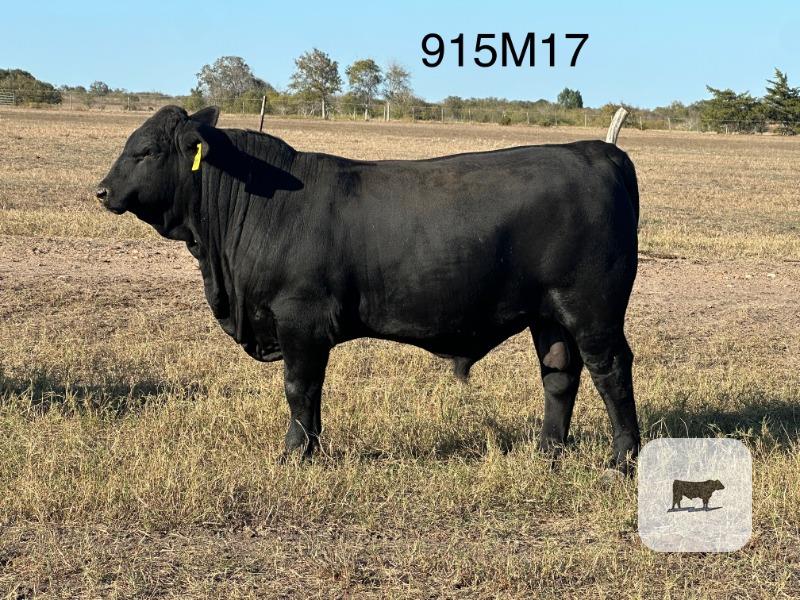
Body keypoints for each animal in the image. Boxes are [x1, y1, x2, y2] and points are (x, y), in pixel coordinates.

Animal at [96, 106, 641, 473]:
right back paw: (547, 451)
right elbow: (310, 393)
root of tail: (599, 151)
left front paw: (295, 453)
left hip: (592, 309)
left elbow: (299, 388)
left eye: (146, 151)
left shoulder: (299, 321)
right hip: (549, 314)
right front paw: (310, 448)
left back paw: (623, 459)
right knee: (559, 374)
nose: (101, 191)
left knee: (611, 371)